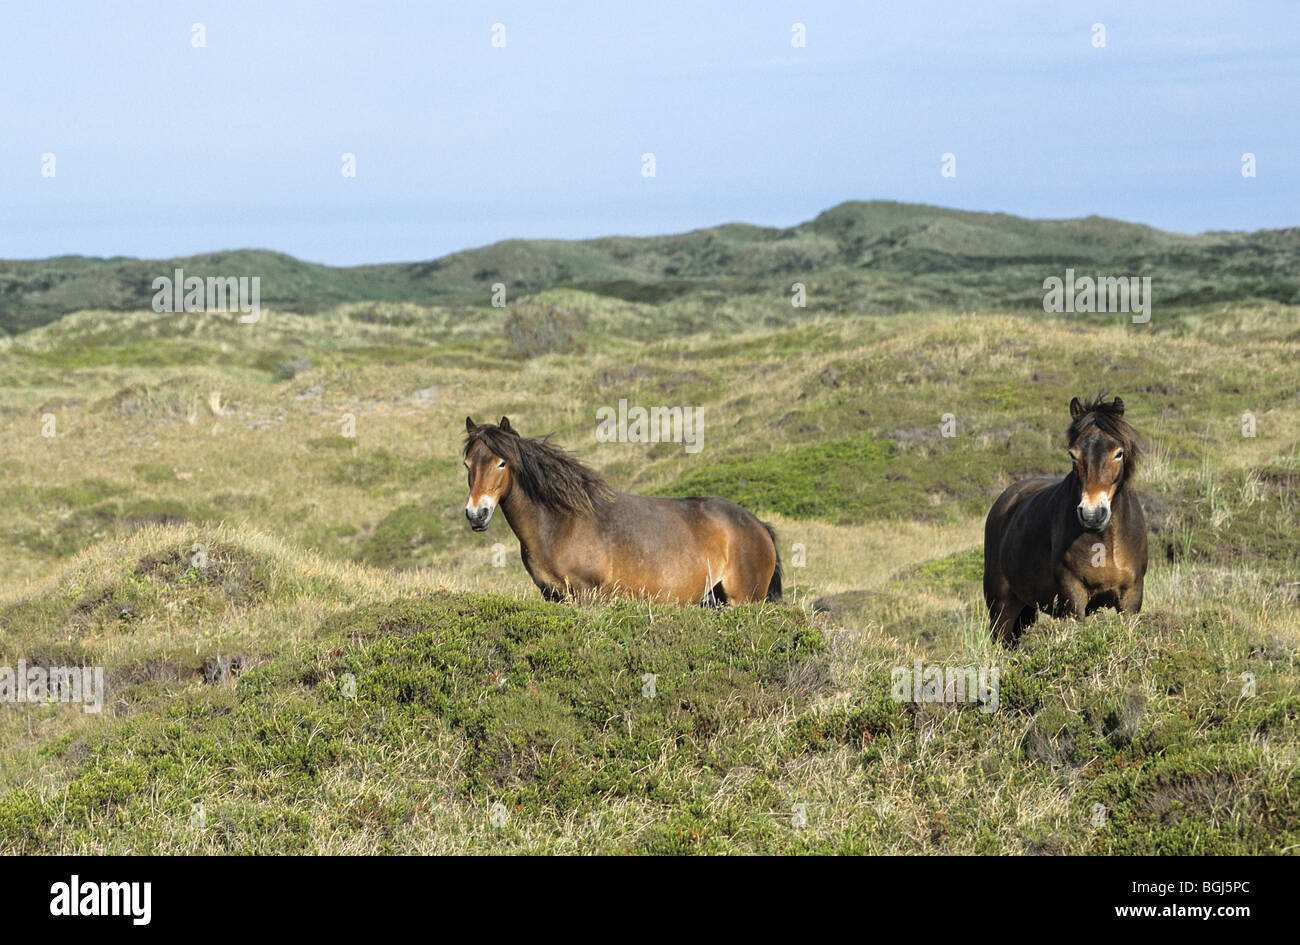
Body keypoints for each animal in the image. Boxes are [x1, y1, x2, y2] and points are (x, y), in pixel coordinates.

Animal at [460, 418, 780, 605]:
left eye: (502, 462)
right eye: (467, 464)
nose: (477, 514)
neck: (561, 522)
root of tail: (758, 526)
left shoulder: (587, 596)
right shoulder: (553, 597)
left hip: (744, 600)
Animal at [982, 395, 1149, 647]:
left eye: (1118, 453)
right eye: (1073, 454)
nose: (1092, 514)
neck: (1106, 542)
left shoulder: (1131, 597)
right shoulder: (1073, 594)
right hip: (1001, 608)